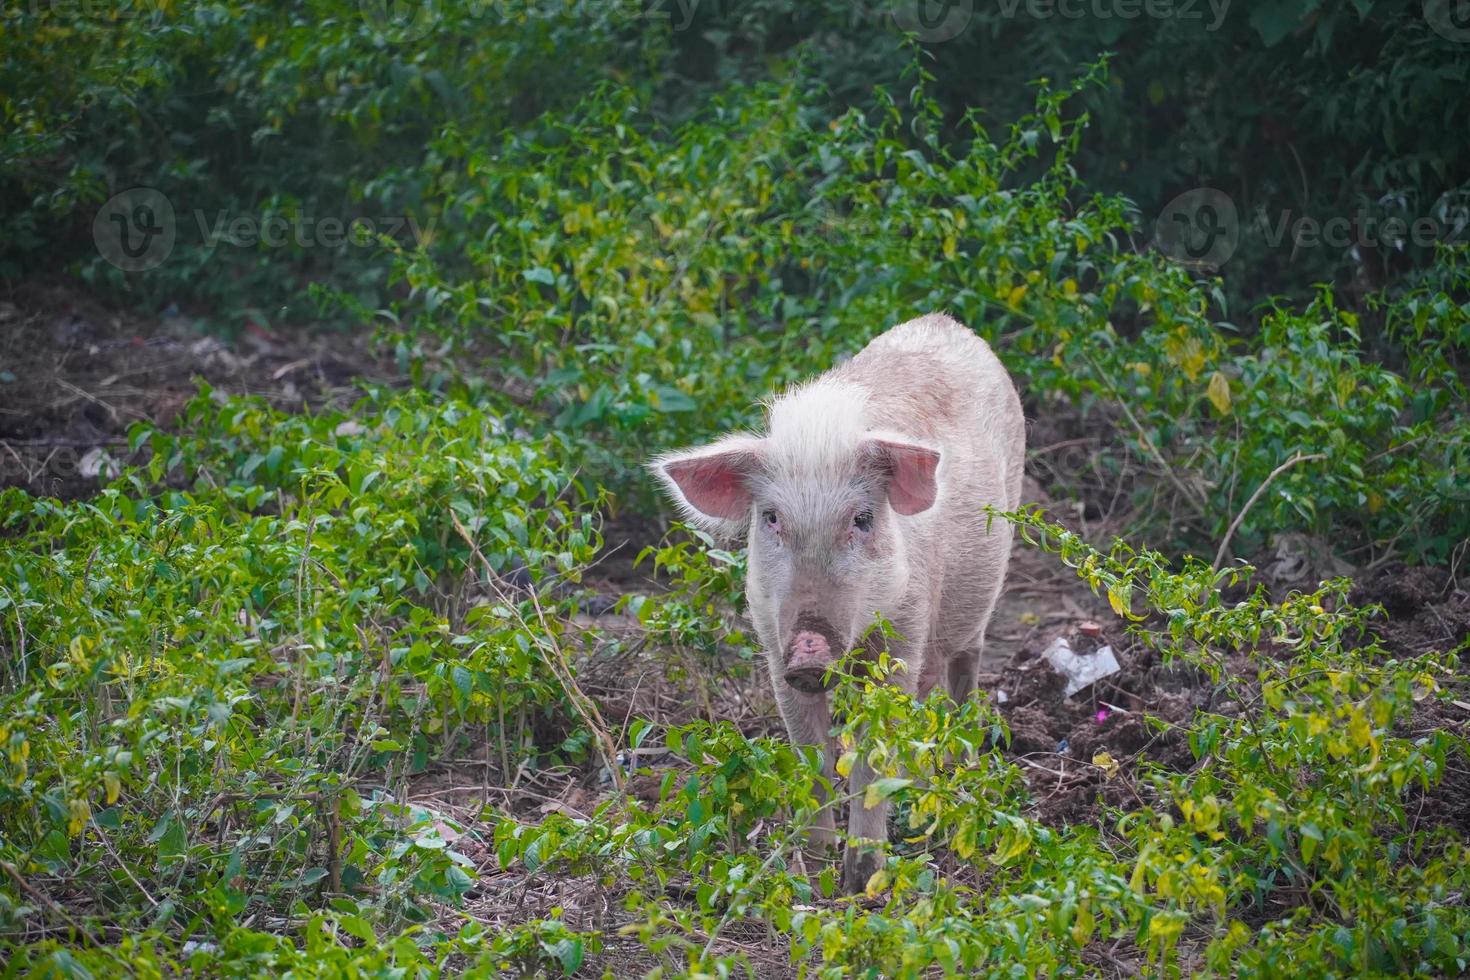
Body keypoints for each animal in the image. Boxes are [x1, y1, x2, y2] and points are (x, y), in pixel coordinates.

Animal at [652, 312, 1023, 887]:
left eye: (862, 519)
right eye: (771, 518)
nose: (810, 646)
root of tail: (945, 322)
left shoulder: (904, 629)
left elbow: (874, 759)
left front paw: (863, 880)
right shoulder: (771, 642)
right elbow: (812, 754)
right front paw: (813, 859)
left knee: (963, 668)